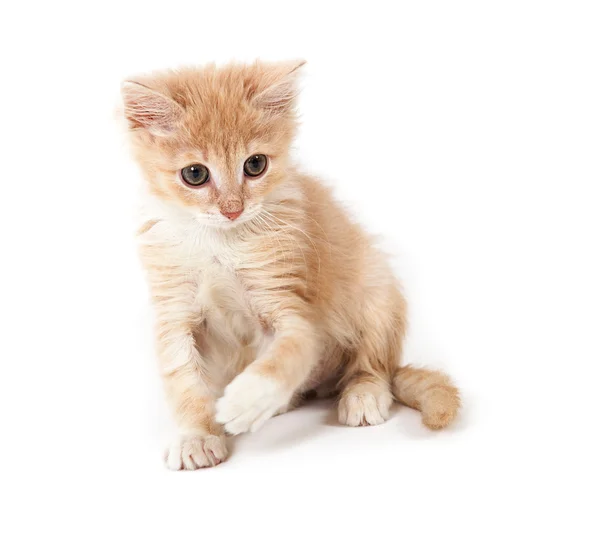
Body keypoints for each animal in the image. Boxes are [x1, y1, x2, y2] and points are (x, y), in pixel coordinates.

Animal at [120, 59, 460, 468]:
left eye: (255, 165)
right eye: (195, 174)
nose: (233, 209)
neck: (221, 241)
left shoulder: (291, 306)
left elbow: (283, 358)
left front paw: (245, 400)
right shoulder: (174, 311)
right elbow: (182, 378)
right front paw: (196, 434)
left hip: (377, 290)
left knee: (373, 365)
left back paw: (362, 394)